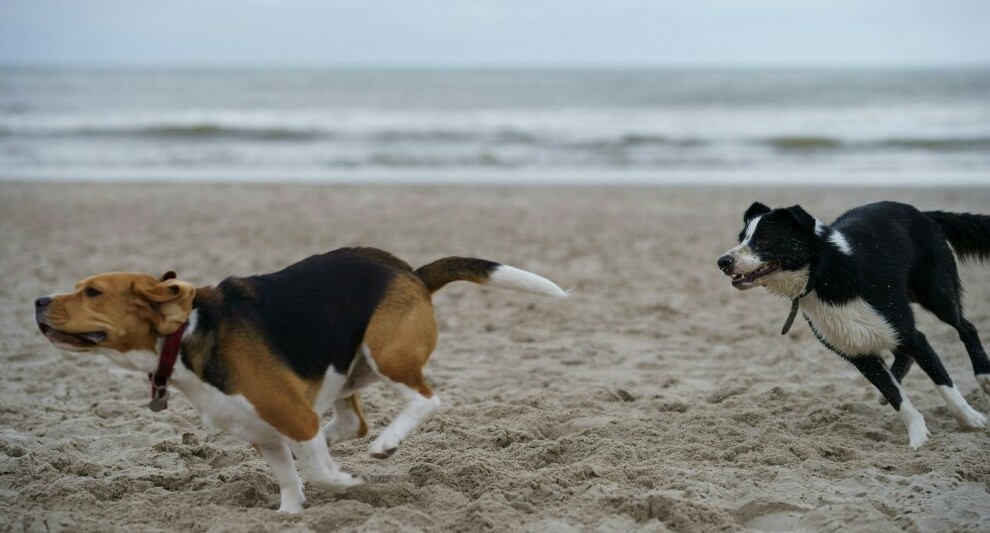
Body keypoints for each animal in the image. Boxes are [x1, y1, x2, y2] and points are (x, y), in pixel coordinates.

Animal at [720, 202, 990, 446]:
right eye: (742, 238)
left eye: (764, 239)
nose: (723, 261)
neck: (822, 275)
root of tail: (924, 213)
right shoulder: (858, 353)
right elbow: (895, 396)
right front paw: (917, 436)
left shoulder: (911, 335)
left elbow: (944, 382)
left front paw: (971, 420)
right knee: (904, 357)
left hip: (935, 290)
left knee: (966, 327)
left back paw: (984, 376)